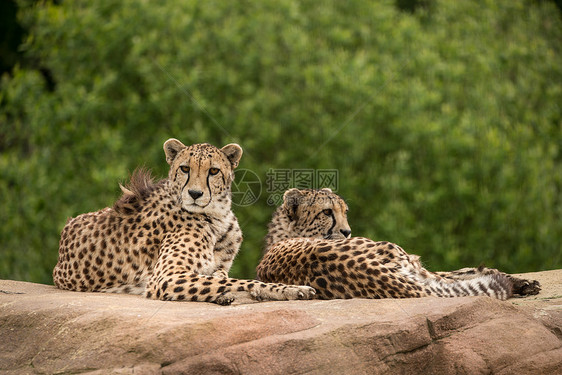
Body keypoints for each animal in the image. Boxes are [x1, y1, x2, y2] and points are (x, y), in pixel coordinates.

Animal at [52, 139, 316, 306]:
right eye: (185, 168)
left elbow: (221, 277)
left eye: (213, 171)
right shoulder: (165, 277)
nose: (195, 194)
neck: (218, 217)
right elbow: (242, 281)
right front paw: (293, 289)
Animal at [258, 189, 540, 302]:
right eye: (327, 212)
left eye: (345, 211)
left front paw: (523, 281)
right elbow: (466, 273)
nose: (347, 232)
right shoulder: (417, 264)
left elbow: (468, 272)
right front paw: (518, 281)